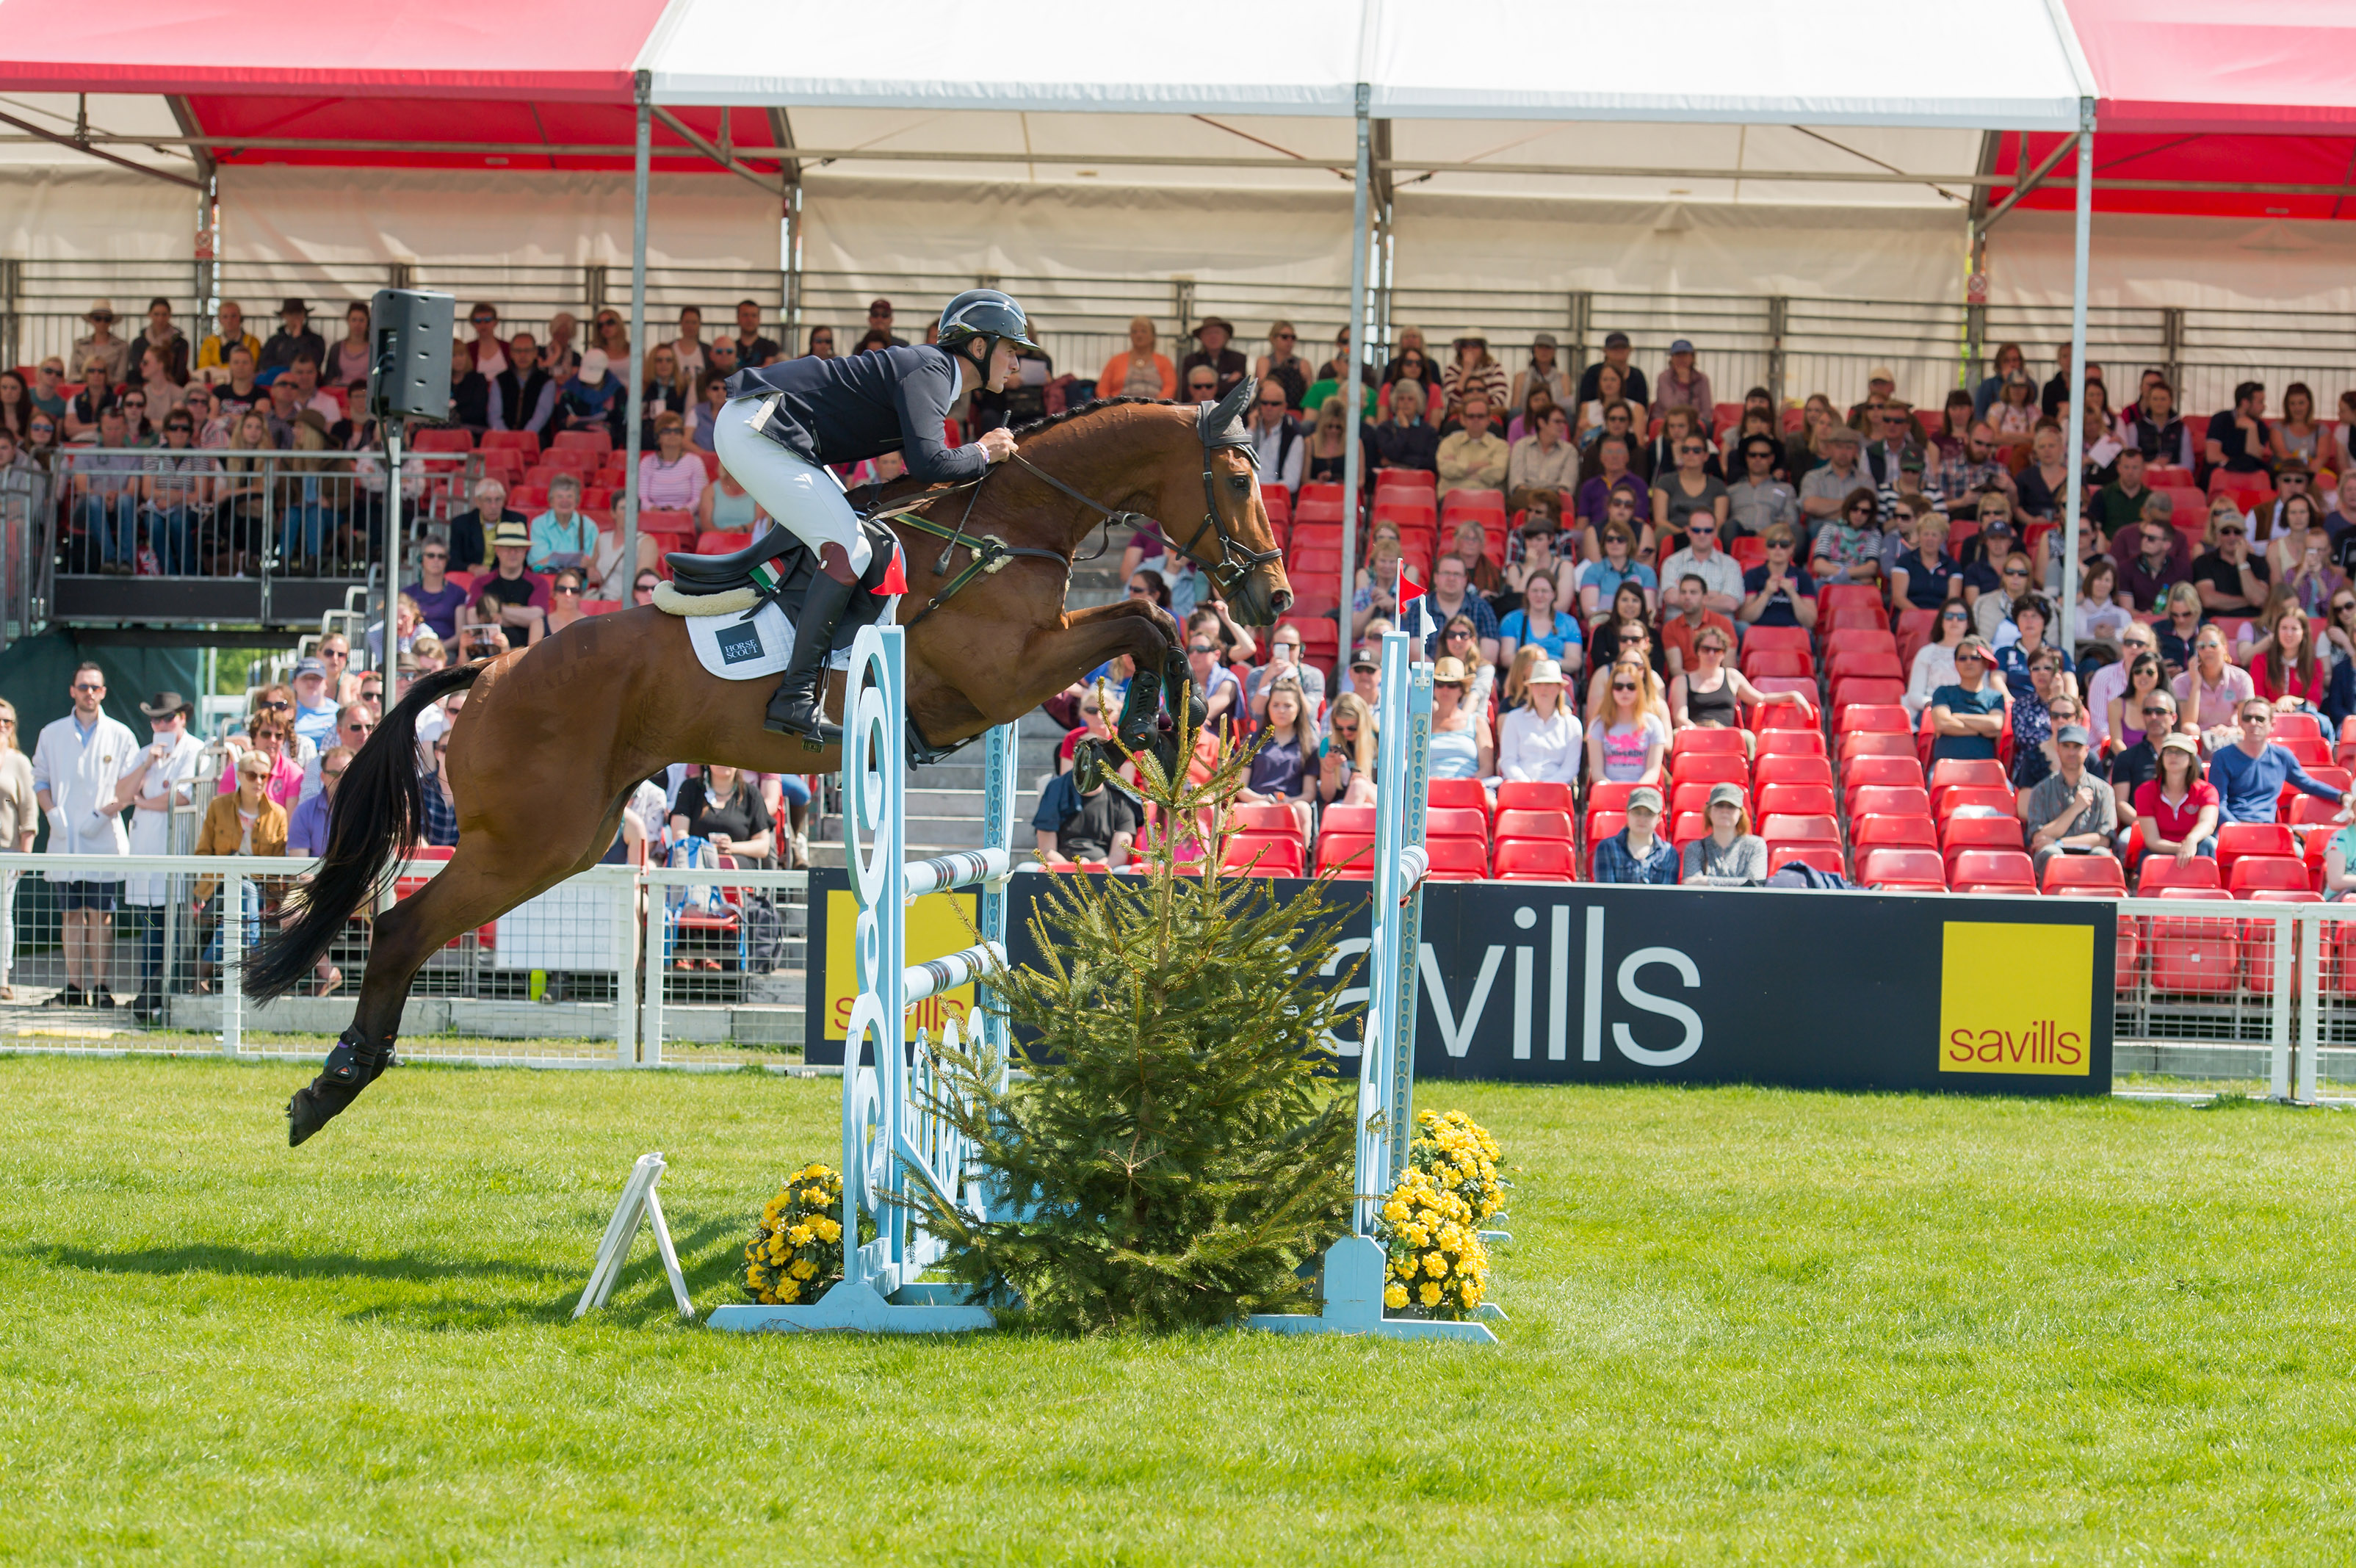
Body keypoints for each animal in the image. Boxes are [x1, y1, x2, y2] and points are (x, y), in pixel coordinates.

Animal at [260, 379, 1300, 1135]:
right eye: (1237, 481)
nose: (1277, 602)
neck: (1007, 524)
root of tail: (494, 665)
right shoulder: (1001, 676)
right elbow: (1142, 619)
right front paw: (1146, 729)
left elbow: (1148, 623)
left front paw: (1135, 738)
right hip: (527, 840)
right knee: (401, 929)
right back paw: (331, 1087)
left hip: (568, 840)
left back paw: (336, 1082)